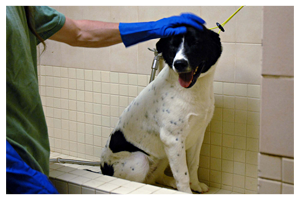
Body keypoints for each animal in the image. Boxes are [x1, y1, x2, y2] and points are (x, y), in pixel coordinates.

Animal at [101, 25, 223, 194]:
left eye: (195, 43)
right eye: (172, 46)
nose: (179, 63)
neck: (193, 90)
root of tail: (102, 169)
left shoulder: (198, 135)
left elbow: (193, 165)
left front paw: (195, 185)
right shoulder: (173, 140)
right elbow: (182, 174)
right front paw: (187, 194)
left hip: (164, 155)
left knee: (156, 177)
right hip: (141, 160)